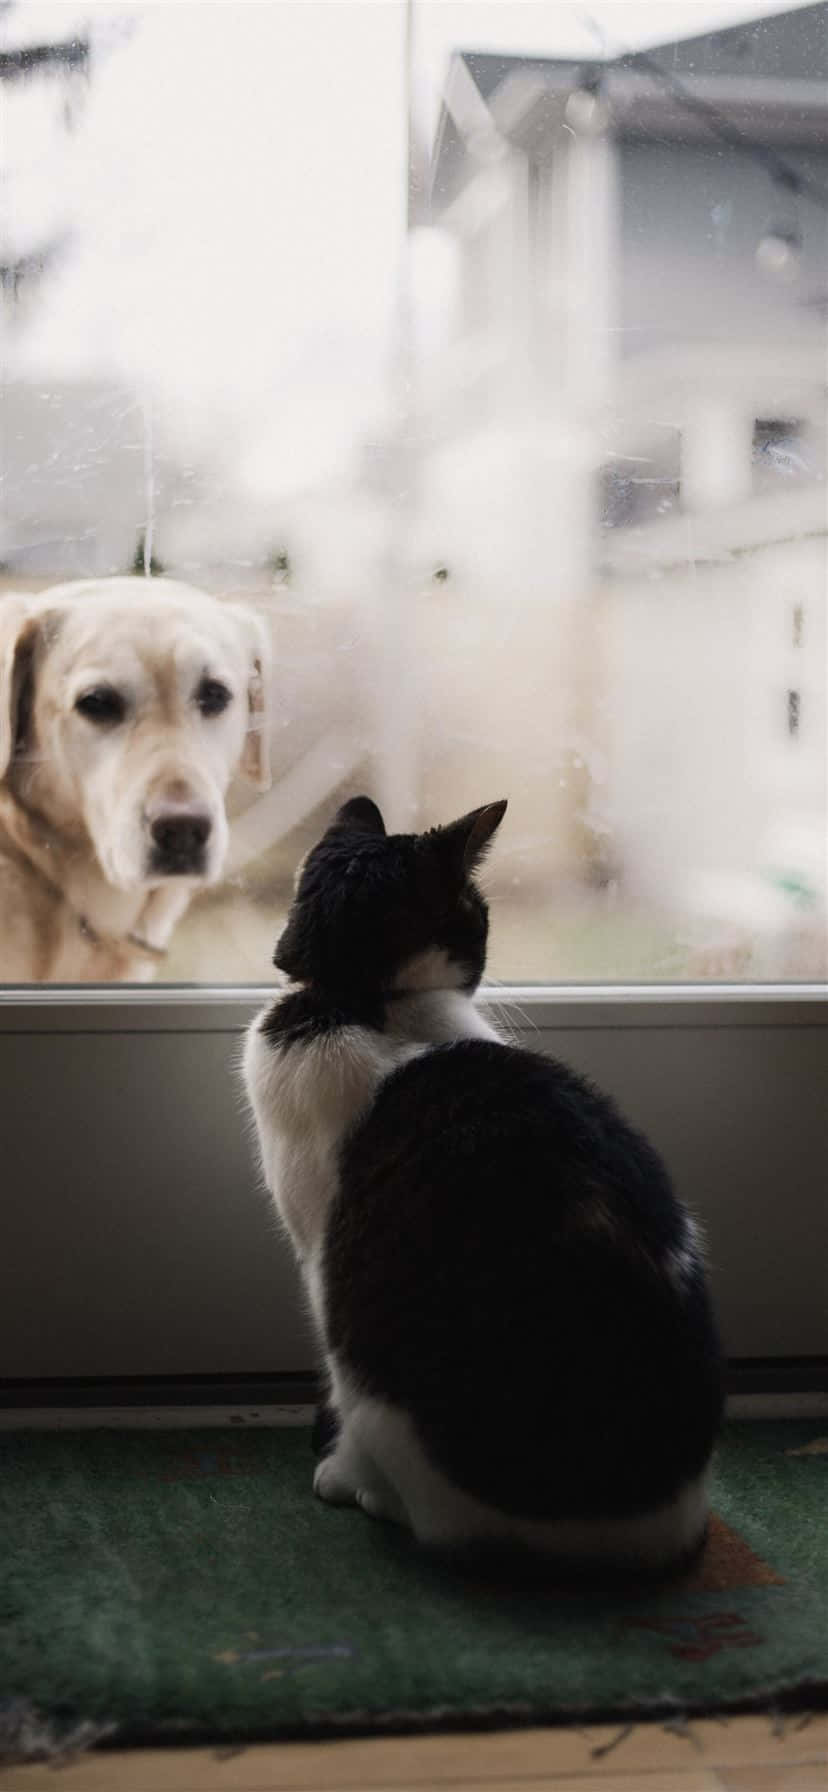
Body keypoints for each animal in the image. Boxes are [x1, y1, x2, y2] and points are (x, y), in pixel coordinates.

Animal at [241, 799, 720, 1569]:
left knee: (429, 1509)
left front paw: (338, 1473)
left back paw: (371, 1493)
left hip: (375, 1370)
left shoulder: (316, 1251)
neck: (366, 1000)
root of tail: (650, 1531)